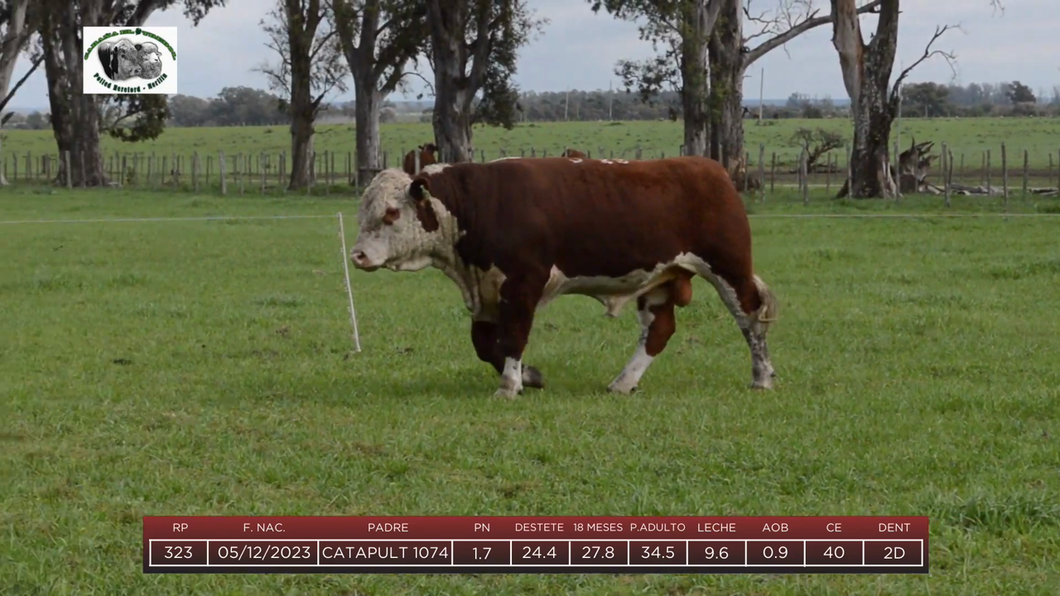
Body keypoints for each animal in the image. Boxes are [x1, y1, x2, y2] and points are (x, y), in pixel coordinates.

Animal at [351, 155, 775, 396]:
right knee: (659, 330)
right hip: (661, 278)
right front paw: (531, 376)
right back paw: (623, 383)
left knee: (750, 317)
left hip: (729, 266)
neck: (478, 204)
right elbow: (485, 344)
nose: (357, 255)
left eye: (391, 213)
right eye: (363, 211)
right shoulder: (486, 290)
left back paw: (762, 378)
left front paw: (510, 386)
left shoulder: (523, 282)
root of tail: (710, 166)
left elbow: (513, 336)